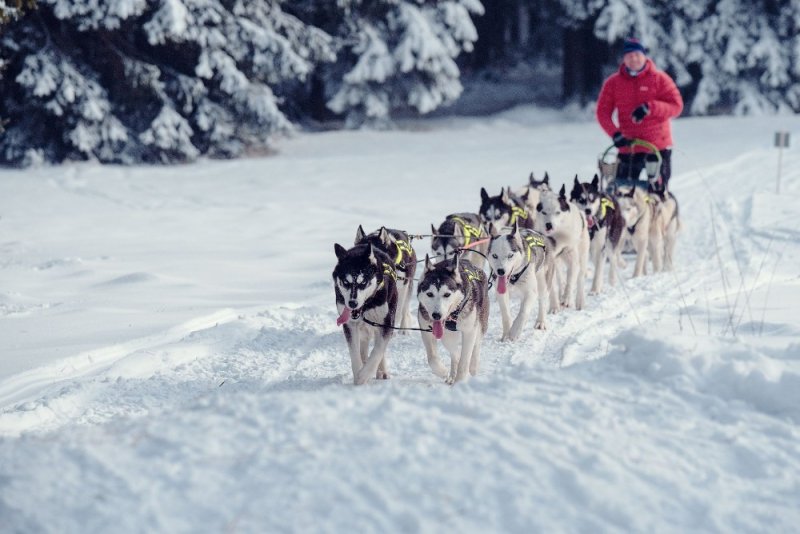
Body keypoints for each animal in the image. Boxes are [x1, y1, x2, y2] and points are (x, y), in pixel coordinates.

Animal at [332, 243, 398, 386]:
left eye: (363, 283)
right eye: (346, 282)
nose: (352, 303)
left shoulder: (385, 323)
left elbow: (378, 351)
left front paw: (364, 375)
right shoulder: (350, 326)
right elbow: (354, 353)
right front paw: (358, 373)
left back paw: (382, 371)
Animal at [418, 255, 488, 386]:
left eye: (447, 294)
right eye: (429, 294)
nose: (436, 315)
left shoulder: (470, 331)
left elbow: (464, 360)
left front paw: (460, 382)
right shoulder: (425, 329)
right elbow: (432, 358)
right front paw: (443, 371)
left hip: (480, 323)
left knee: (476, 345)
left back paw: (473, 368)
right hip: (447, 337)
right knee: (454, 352)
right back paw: (452, 374)